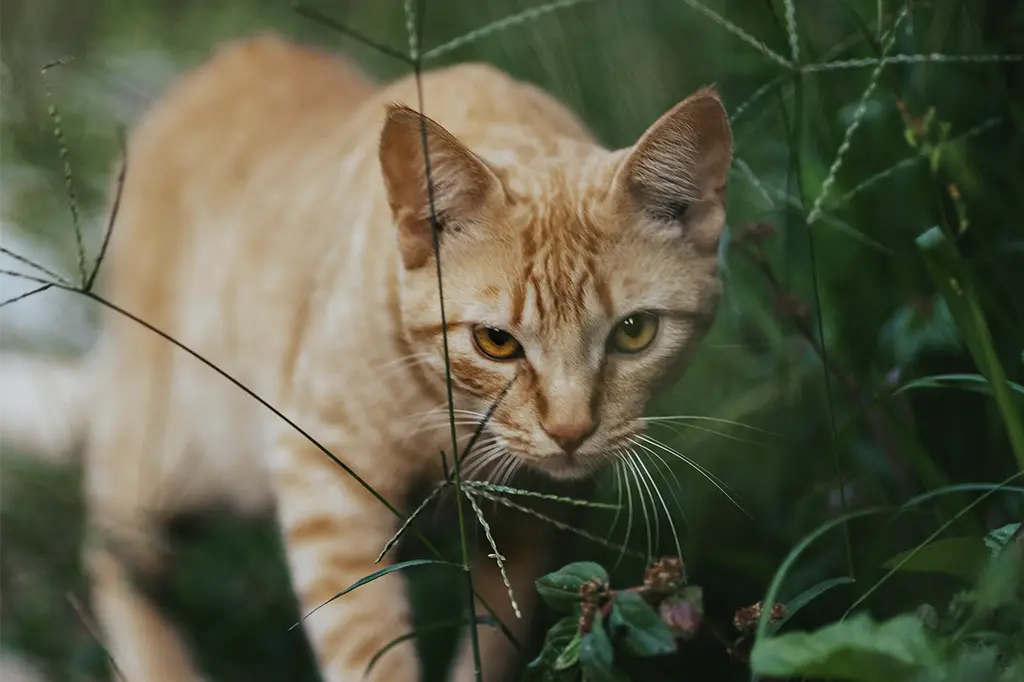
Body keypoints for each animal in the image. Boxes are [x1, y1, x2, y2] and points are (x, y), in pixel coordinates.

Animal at [0, 30, 737, 679]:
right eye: (495, 342)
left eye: (634, 333)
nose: (570, 429)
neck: (451, 420)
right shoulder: (326, 484)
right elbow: (368, 645)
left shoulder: (537, 520)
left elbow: (498, 640)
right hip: (180, 453)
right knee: (113, 547)